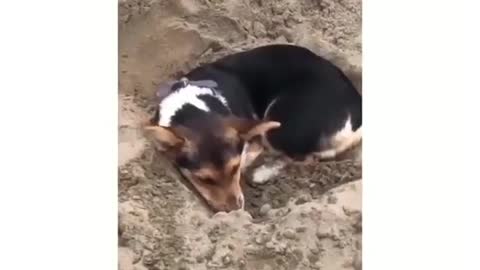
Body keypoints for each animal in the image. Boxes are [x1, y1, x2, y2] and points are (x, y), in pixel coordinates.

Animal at [144, 44, 362, 213]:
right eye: (204, 179)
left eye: (234, 168)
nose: (235, 210)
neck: (194, 107)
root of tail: (357, 111)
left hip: (280, 124)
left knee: (304, 158)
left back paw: (262, 172)